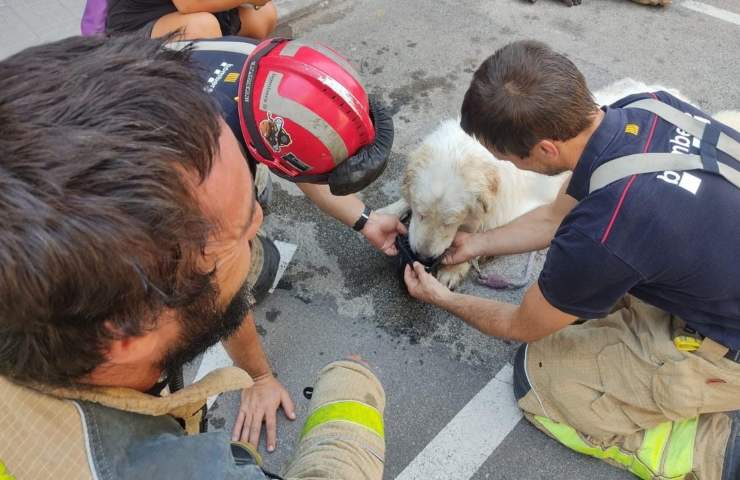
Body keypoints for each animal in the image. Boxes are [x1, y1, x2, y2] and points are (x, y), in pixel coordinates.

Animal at [382, 79, 740, 288]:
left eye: (450, 221)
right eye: (422, 213)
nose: (422, 256)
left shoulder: (519, 208)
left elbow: (487, 231)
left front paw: (456, 266)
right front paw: (388, 212)